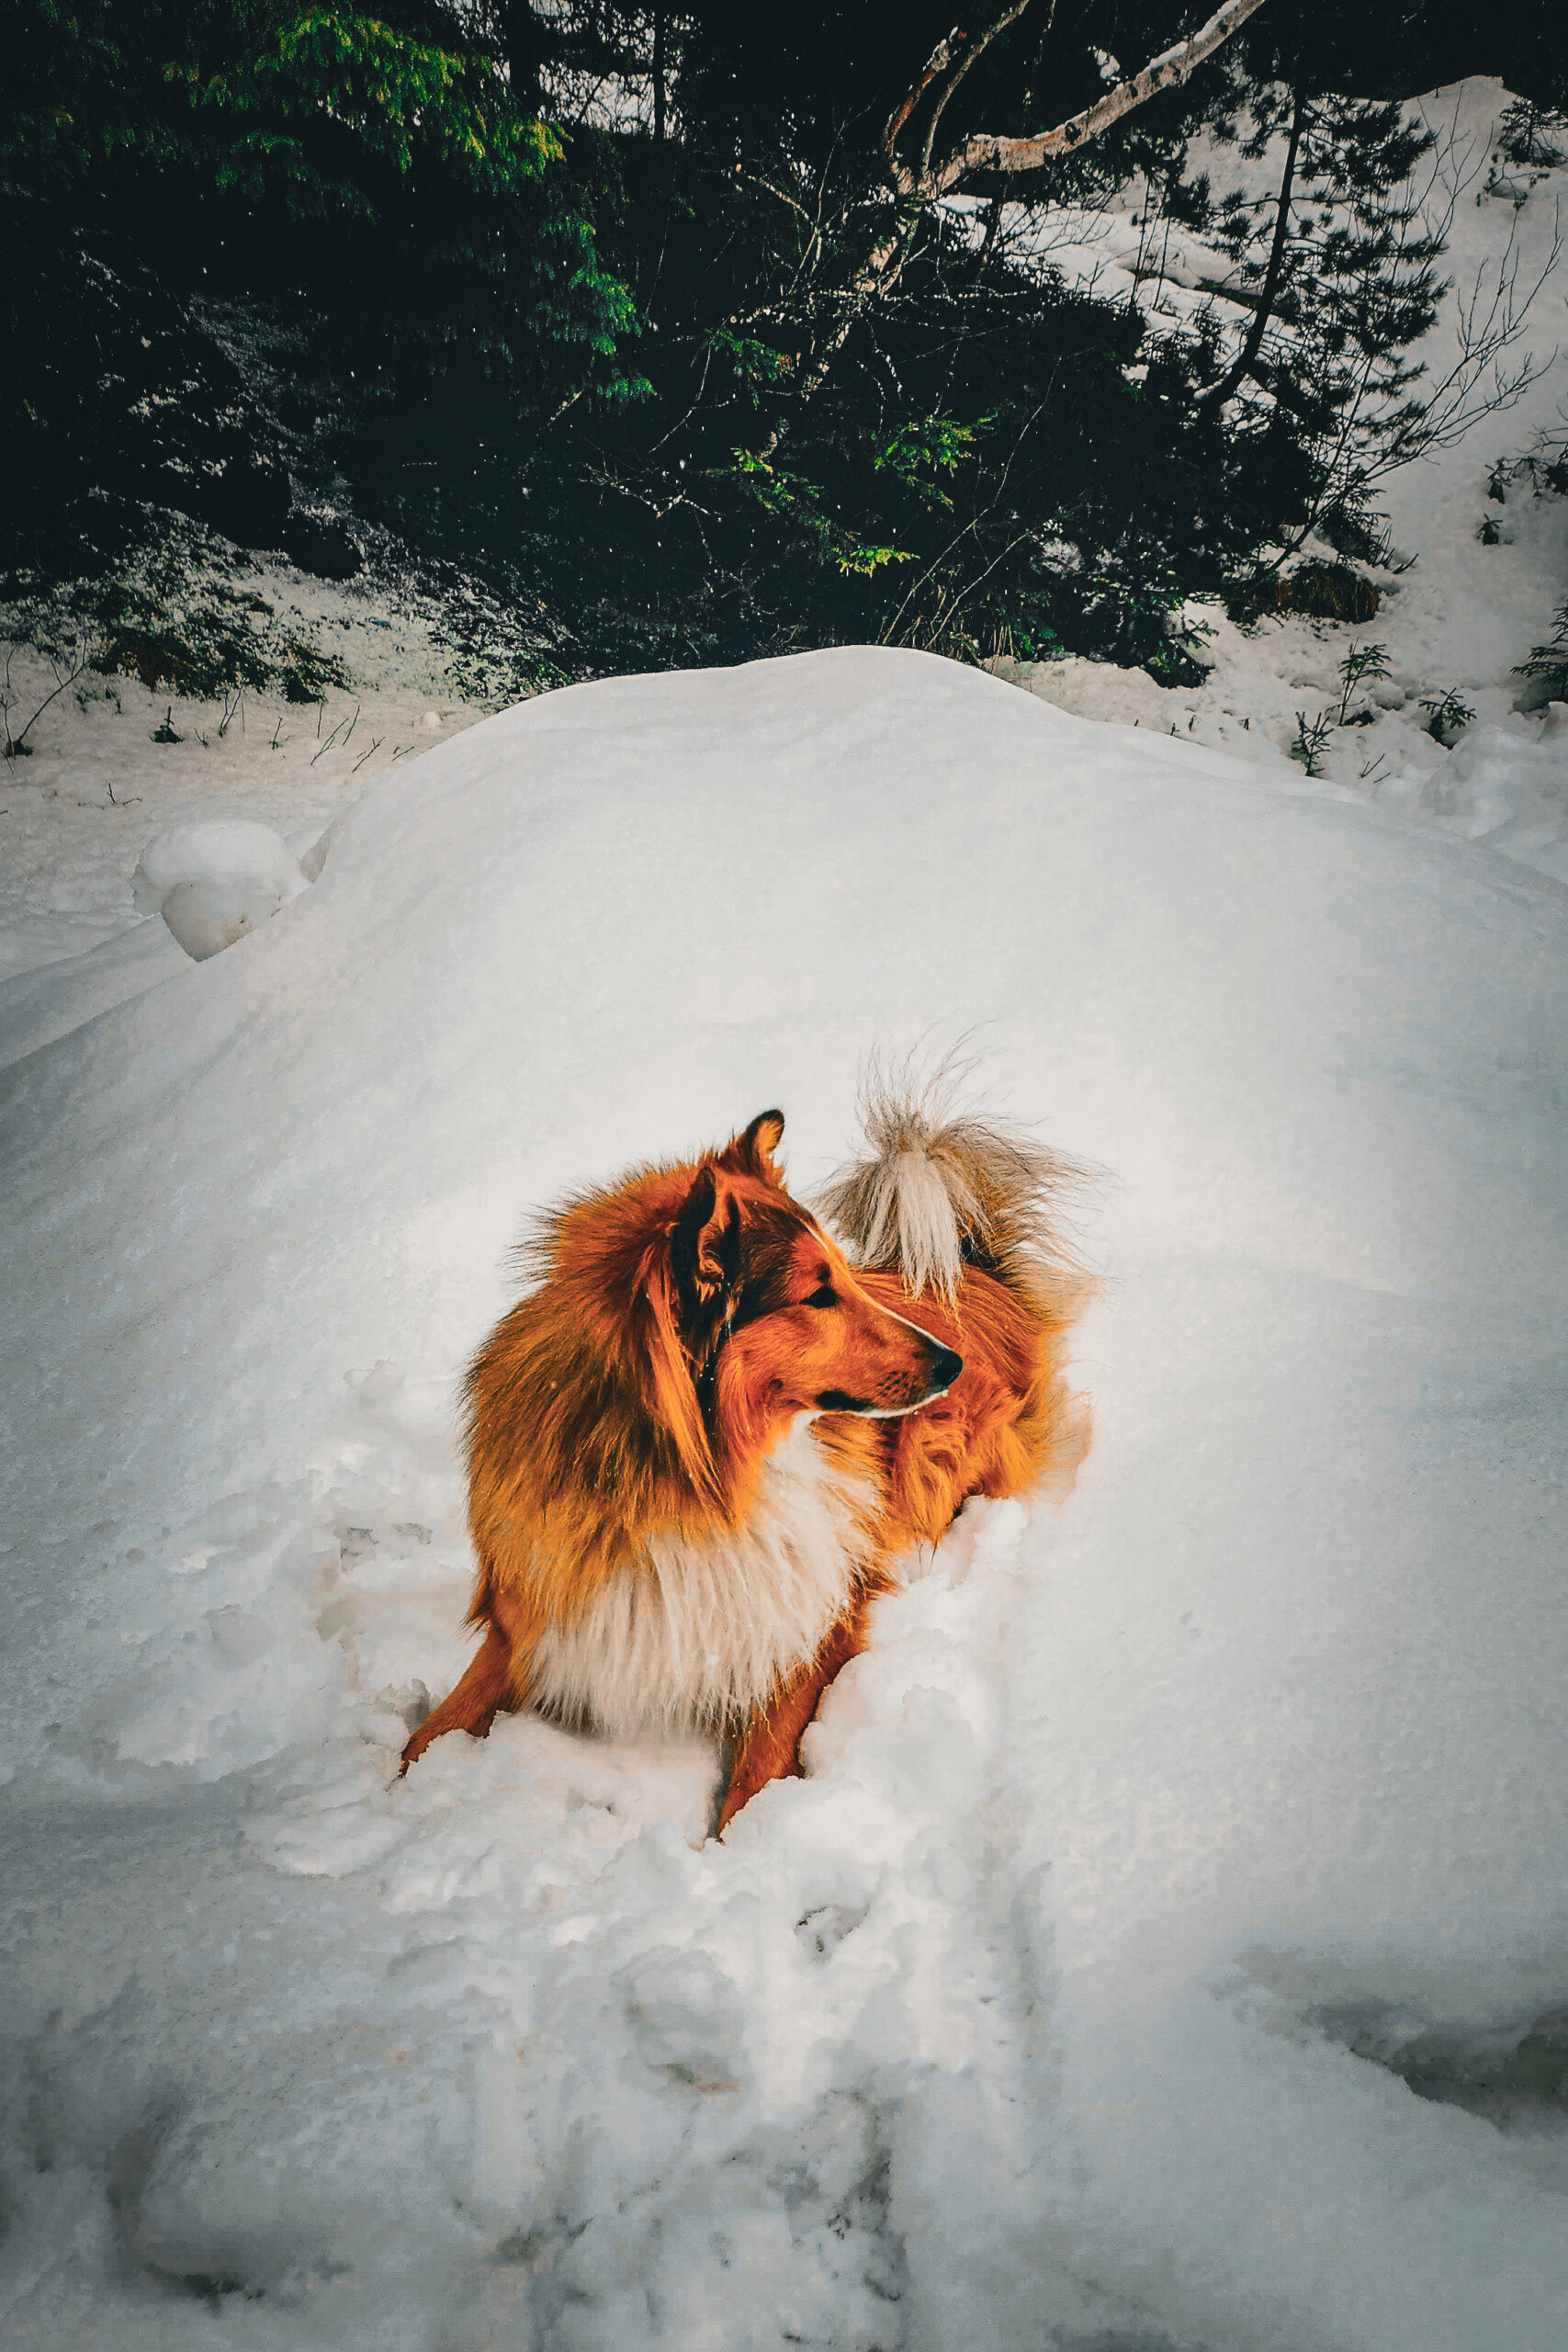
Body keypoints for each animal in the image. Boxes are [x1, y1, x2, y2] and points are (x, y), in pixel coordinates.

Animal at [401, 1077, 1090, 1825]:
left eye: (842, 1277)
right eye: (818, 1295)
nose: (950, 1364)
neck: (689, 1481)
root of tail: (968, 1275)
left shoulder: (807, 1619)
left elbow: (760, 1773)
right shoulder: (531, 1620)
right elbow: (430, 1732)